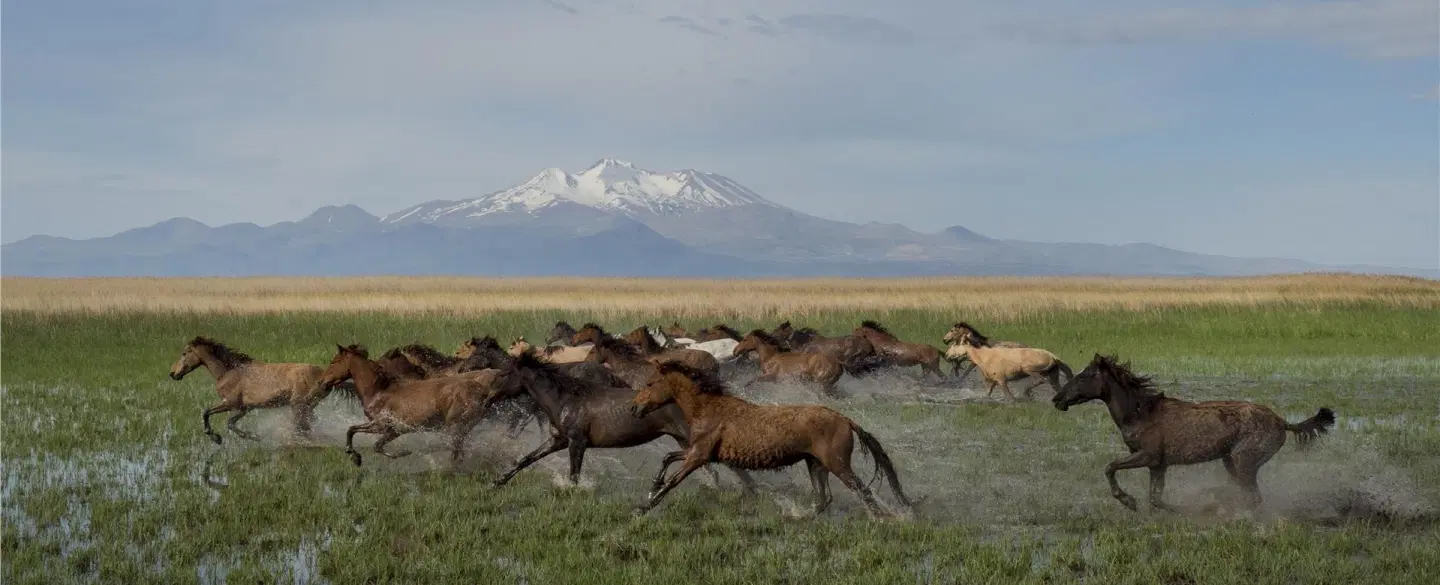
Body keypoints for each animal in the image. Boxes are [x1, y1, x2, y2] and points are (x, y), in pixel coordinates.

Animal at [169, 336, 338, 445]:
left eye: (184, 353)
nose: (173, 373)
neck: (228, 372)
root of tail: (323, 375)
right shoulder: (244, 408)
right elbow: (230, 423)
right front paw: (253, 436)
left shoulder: (229, 403)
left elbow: (206, 412)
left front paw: (215, 437)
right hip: (307, 406)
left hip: (299, 405)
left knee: (303, 426)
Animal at [318, 344, 499, 467]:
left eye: (334, 362)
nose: (321, 381)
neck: (379, 390)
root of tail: (484, 392)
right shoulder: (394, 430)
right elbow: (373, 443)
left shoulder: (381, 425)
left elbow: (355, 432)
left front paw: (354, 456)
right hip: (464, 427)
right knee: (458, 450)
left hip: (453, 426)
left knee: (455, 450)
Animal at [481, 351, 757, 494]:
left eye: (504, 374)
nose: (487, 397)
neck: (565, 399)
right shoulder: (557, 440)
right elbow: (525, 459)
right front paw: (496, 482)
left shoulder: (577, 442)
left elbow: (574, 473)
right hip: (683, 439)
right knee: (709, 467)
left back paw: (751, 492)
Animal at [630, 362, 914, 517]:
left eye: (650, 383)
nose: (634, 408)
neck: (707, 408)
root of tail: (845, 419)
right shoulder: (700, 452)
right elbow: (668, 458)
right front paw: (653, 486)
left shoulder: (698, 456)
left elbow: (673, 481)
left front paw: (644, 507)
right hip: (816, 465)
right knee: (823, 498)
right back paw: (798, 517)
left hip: (838, 464)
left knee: (862, 491)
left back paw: (882, 520)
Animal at [1053, 354, 1336, 512]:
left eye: (1084, 376)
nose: (1057, 399)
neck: (1140, 412)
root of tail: (1282, 421)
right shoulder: (1158, 465)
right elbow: (1156, 499)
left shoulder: (1147, 456)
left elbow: (1110, 467)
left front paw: (1128, 501)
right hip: (1230, 461)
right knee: (1248, 495)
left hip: (1244, 461)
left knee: (1253, 498)